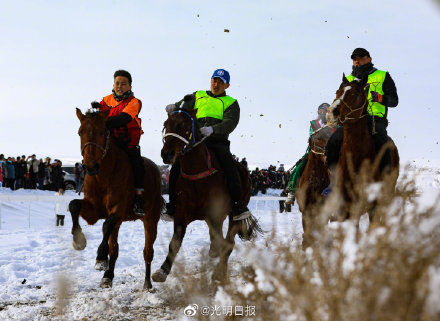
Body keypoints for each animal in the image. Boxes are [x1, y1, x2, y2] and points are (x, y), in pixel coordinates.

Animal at [69, 108, 162, 290]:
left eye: (101, 131)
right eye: (80, 132)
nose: (90, 166)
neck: (102, 176)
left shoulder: (118, 209)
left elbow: (107, 224)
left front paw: (100, 258)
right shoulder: (93, 209)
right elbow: (74, 205)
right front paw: (78, 239)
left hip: (151, 219)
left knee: (148, 251)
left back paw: (147, 283)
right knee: (115, 248)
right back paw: (108, 276)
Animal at [151, 108, 262, 282]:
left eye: (185, 125)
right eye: (166, 124)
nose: (167, 154)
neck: (198, 176)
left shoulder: (215, 215)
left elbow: (224, 243)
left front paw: (219, 270)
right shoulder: (182, 214)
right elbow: (175, 243)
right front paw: (162, 270)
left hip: (233, 214)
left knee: (229, 241)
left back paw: (219, 270)